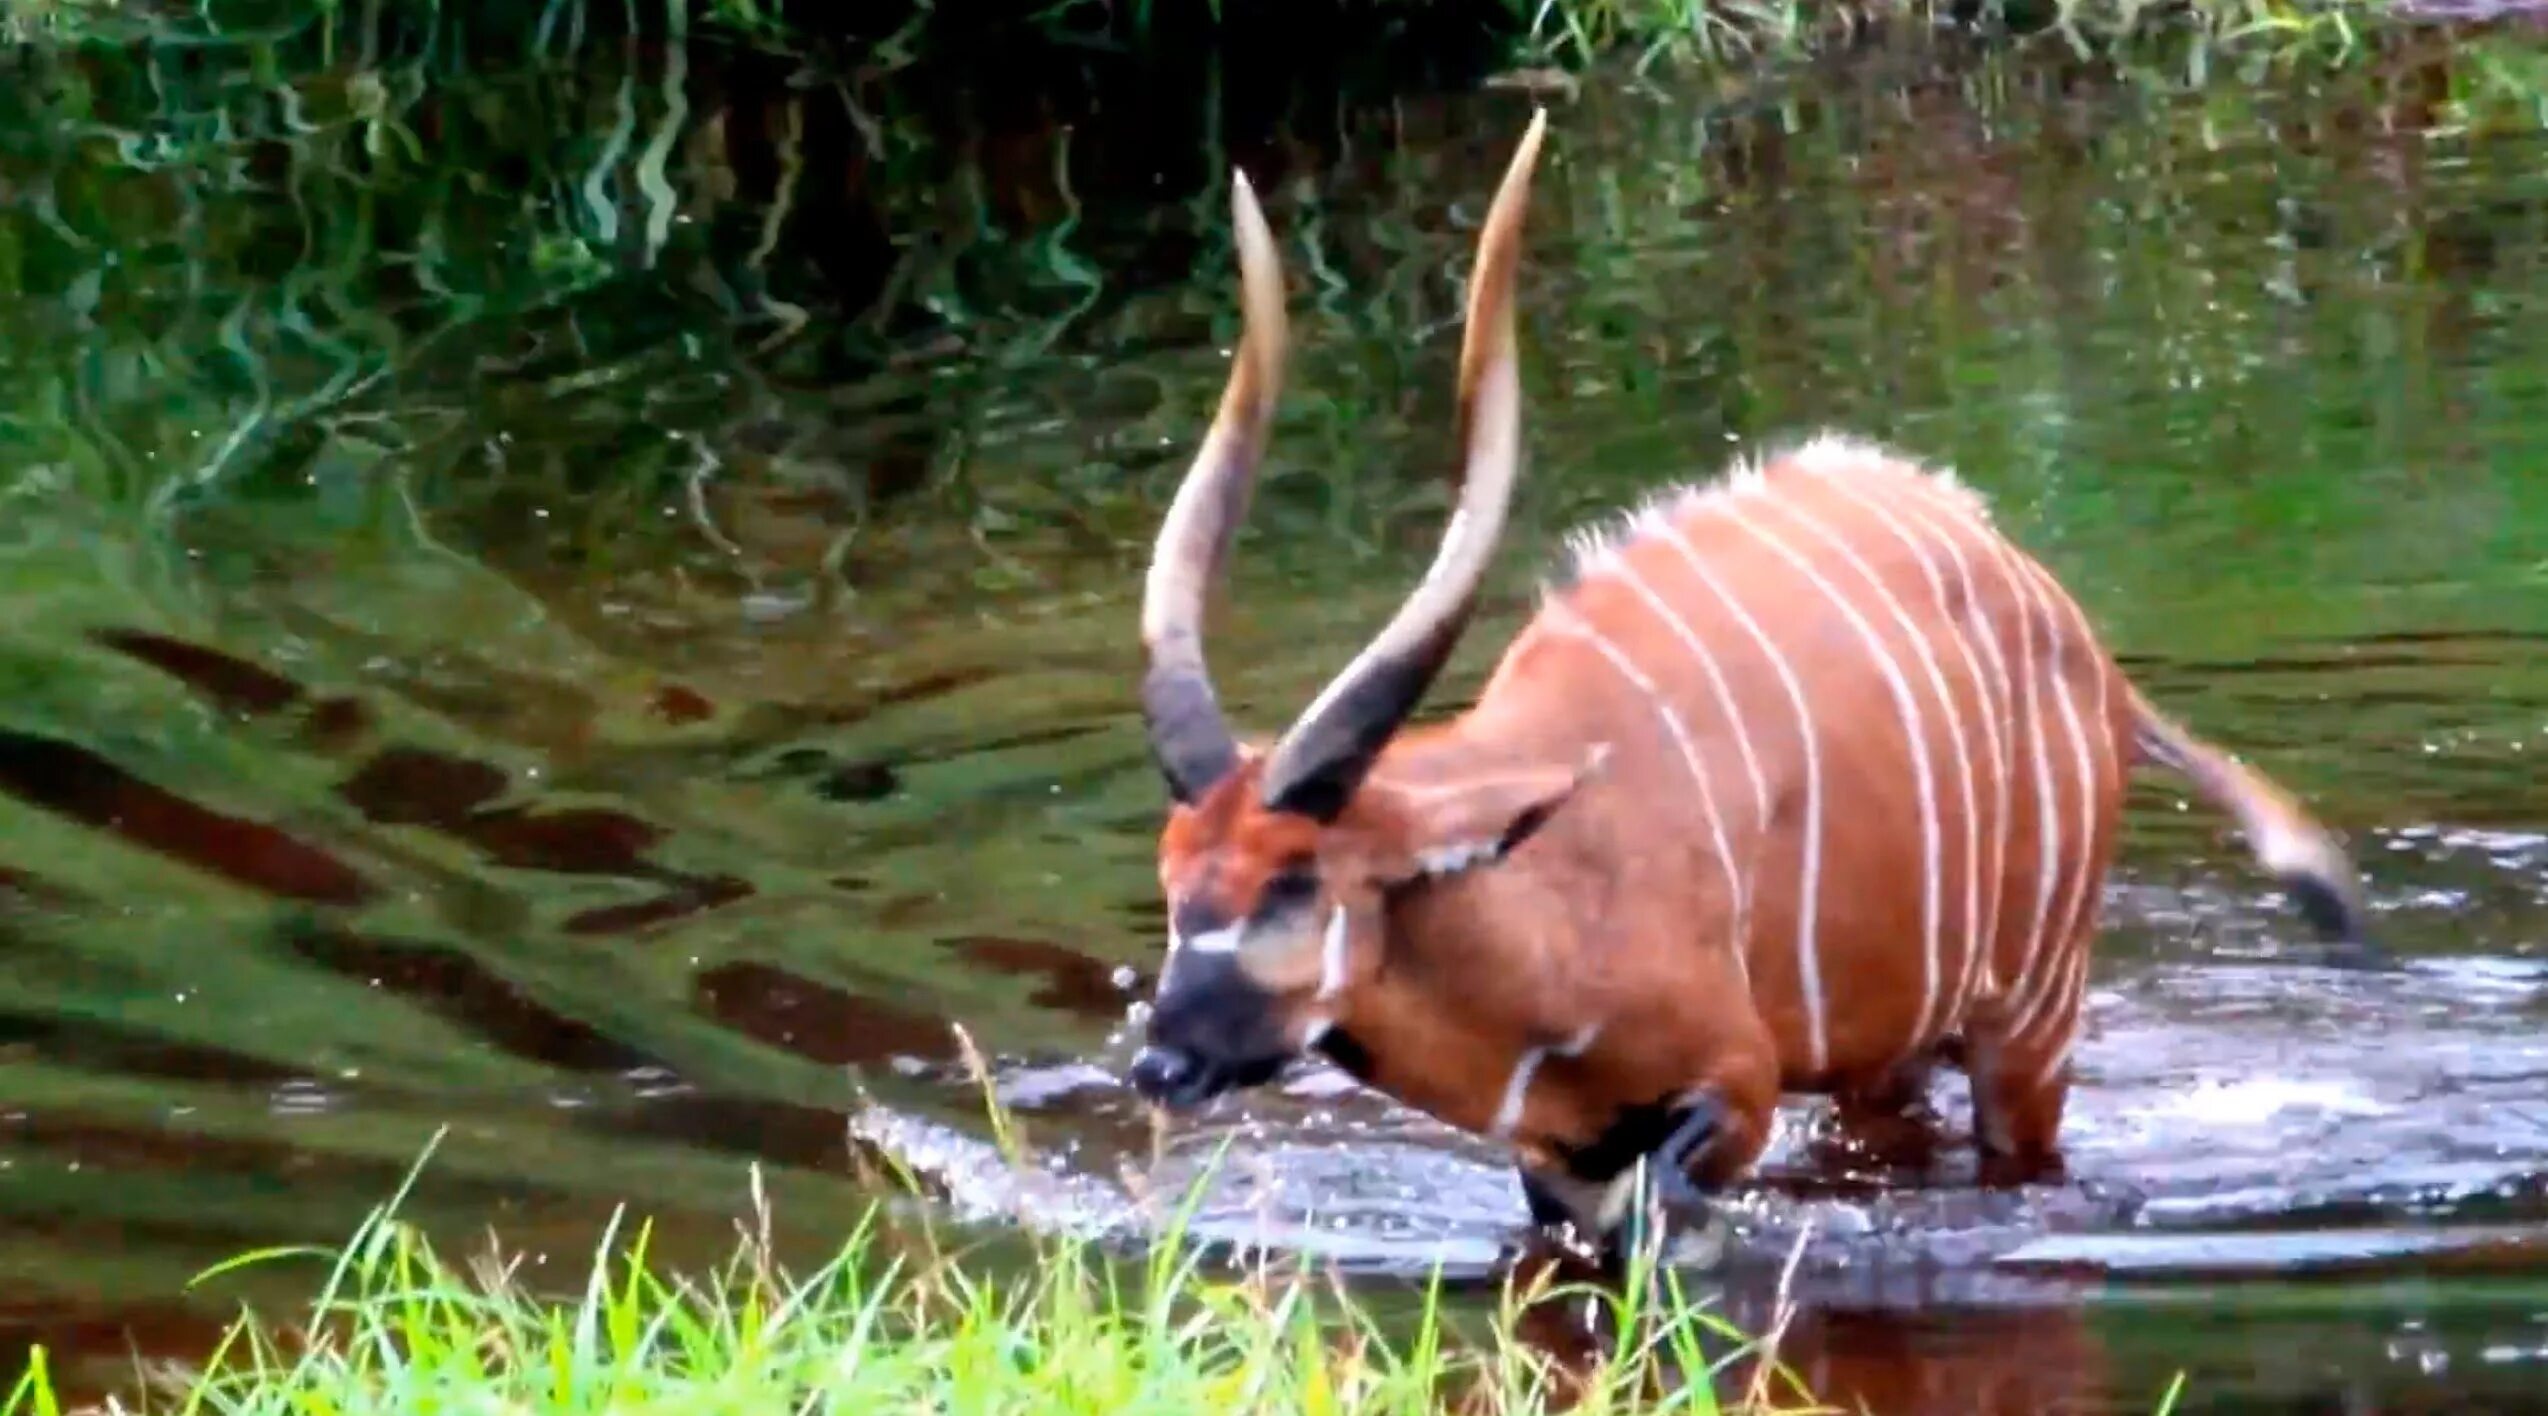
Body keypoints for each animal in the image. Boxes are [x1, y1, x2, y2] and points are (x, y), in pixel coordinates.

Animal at [1126, 107, 2374, 1263]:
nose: (1159, 1061)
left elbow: (1671, 1219)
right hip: (1890, 1053)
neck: (1544, 886)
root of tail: (2092, 662)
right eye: (1173, 878)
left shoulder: (1736, 1086)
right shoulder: (1560, 1157)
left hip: (2027, 1022)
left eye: (1296, 879)